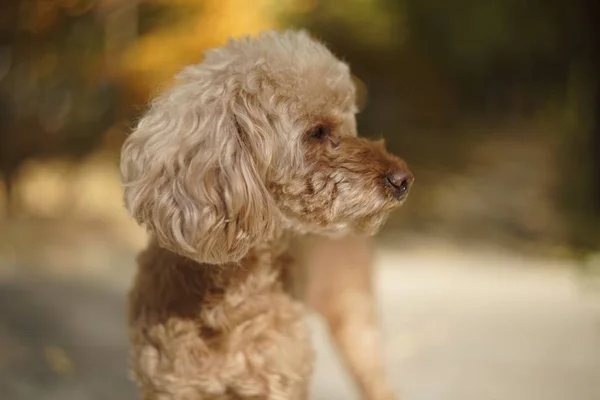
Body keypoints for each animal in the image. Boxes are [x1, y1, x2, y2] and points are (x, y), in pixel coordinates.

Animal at [121, 29, 412, 398]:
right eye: (317, 132)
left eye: (350, 125)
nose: (403, 180)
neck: (226, 294)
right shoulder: (170, 384)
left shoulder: (277, 379)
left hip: (355, 318)